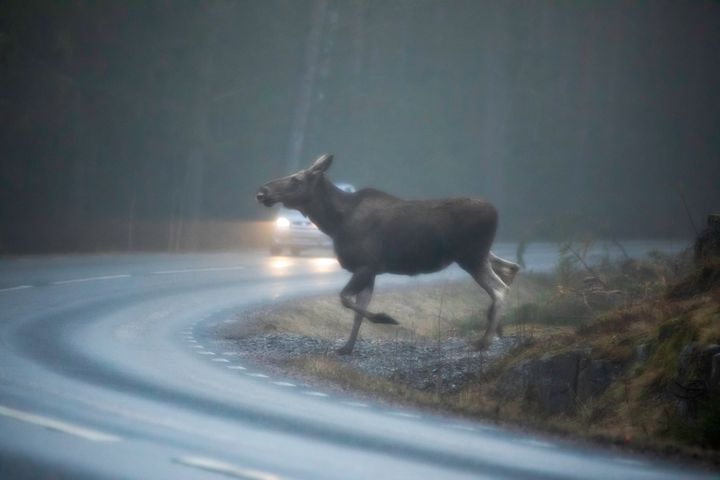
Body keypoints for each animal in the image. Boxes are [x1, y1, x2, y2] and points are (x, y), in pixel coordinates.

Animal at [258, 156, 516, 354]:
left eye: (297, 179)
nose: (262, 191)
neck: (335, 223)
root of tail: (496, 212)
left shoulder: (366, 266)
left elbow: (345, 299)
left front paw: (386, 318)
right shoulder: (369, 271)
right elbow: (357, 310)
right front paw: (347, 347)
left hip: (471, 256)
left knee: (500, 288)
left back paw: (485, 340)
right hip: (479, 254)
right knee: (510, 269)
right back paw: (497, 328)